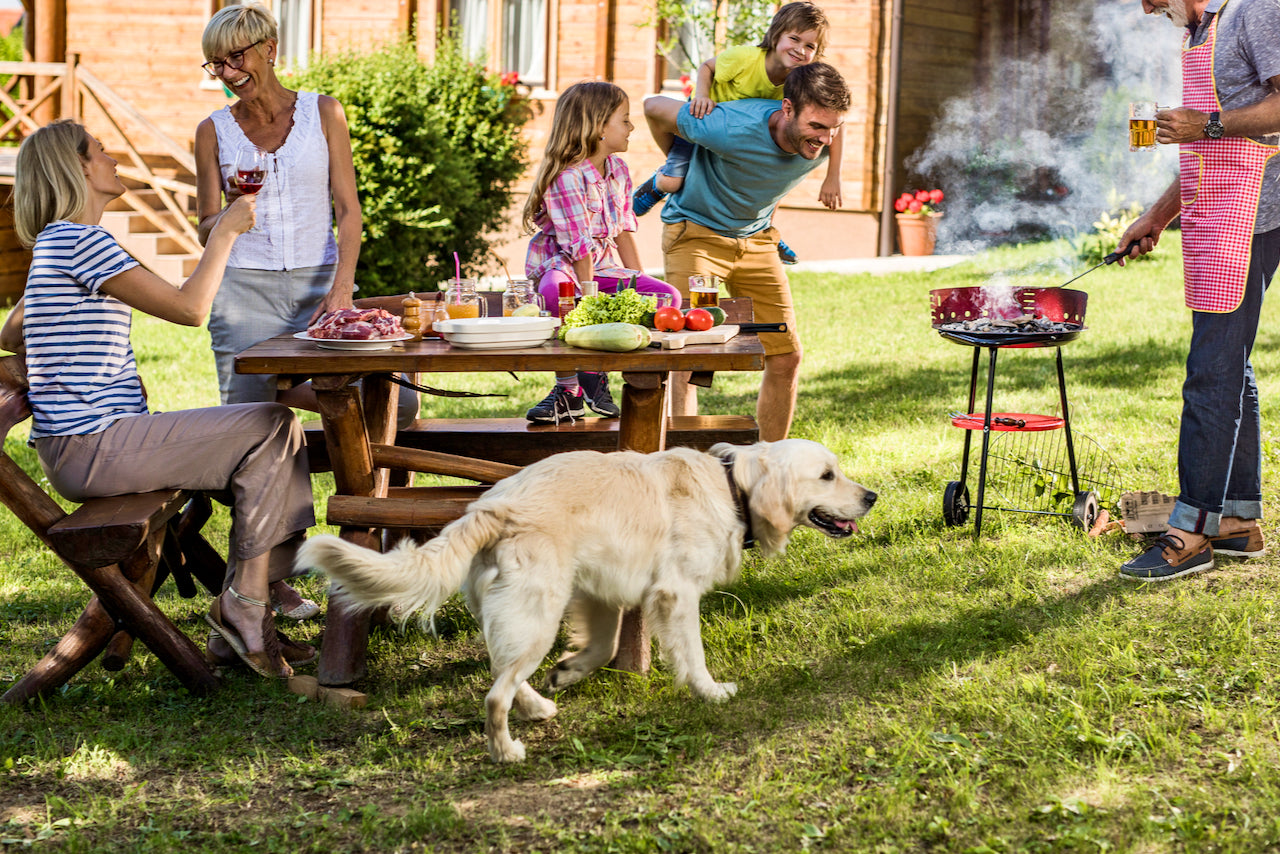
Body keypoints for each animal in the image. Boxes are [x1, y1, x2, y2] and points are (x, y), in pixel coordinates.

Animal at [298, 440, 875, 763]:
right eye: (827, 475)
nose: (871, 497)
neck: (732, 485)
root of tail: (492, 505)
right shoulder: (676, 593)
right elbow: (691, 655)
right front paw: (710, 692)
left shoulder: (601, 593)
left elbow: (602, 647)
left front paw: (569, 671)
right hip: (538, 611)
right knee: (494, 695)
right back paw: (505, 751)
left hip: (526, 612)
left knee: (503, 670)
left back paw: (538, 703)